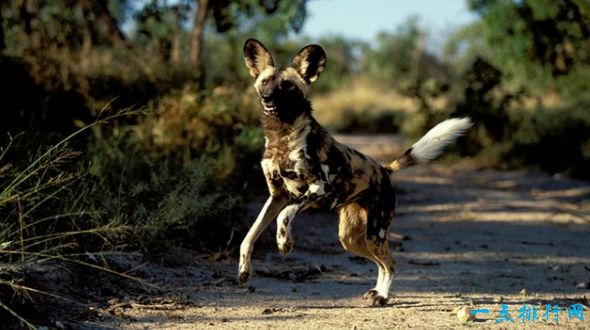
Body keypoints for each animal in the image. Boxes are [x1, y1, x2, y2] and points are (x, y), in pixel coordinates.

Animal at [238, 39, 474, 306]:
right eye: (265, 82)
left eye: (287, 85)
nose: (267, 97)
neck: (282, 136)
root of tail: (384, 170)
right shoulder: (277, 196)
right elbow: (249, 236)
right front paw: (244, 271)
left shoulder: (318, 188)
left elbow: (284, 215)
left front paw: (284, 243)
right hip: (351, 240)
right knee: (381, 263)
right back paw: (376, 292)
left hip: (374, 232)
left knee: (391, 262)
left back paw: (383, 296)